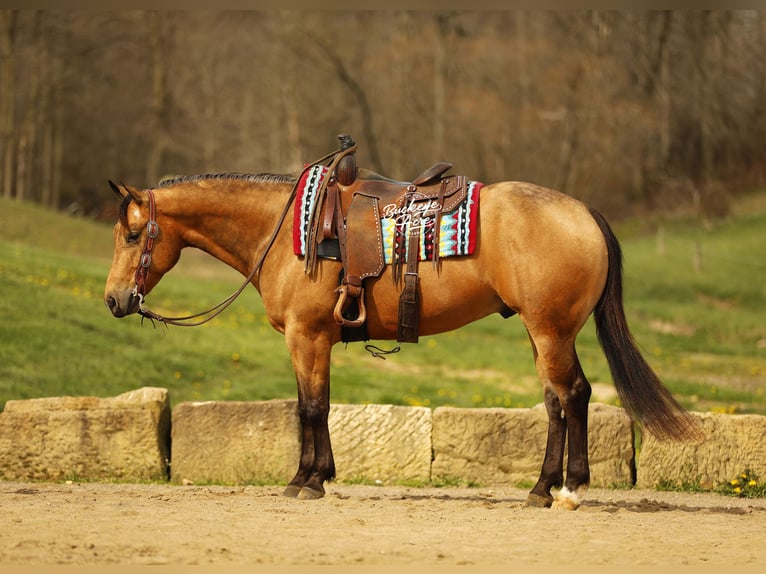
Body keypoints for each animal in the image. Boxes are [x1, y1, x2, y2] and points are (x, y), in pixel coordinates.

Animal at [104, 159, 699, 510]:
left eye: (133, 234)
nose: (114, 300)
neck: (289, 230)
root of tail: (583, 212)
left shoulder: (307, 337)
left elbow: (311, 408)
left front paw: (306, 480)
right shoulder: (311, 341)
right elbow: (313, 405)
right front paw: (320, 474)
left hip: (551, 332)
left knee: (573, 396)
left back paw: (571, 489)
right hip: (543, 335)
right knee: (556, 402)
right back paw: (540, 488)